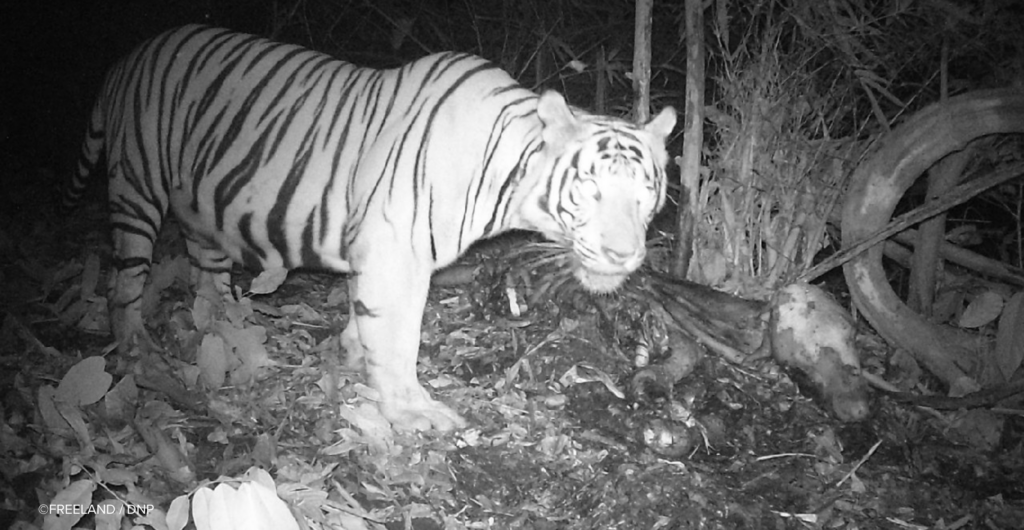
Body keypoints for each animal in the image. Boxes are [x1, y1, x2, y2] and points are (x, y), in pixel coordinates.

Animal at [65, 24, 676, 431]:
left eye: (645, 196)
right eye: (590, 190)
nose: (624, 255)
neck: (506, 173)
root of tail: (132, 54)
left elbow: (368, 321)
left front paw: (355, 357)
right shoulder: (395, 254)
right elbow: (399, 334)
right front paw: (410, 408)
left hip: (200, 204)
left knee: (206, 277)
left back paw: (228, 325)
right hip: (138, 187)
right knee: (123, 285)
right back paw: (140, 354)